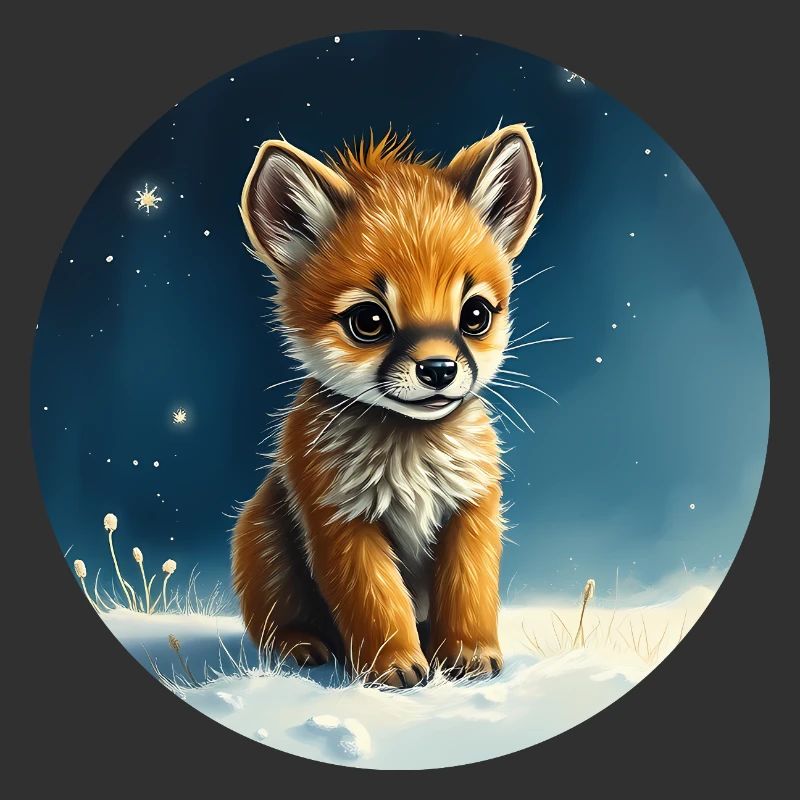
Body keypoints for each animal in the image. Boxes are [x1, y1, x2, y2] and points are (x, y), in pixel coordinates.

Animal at [232, 123, 542, 688]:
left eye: (476, 315)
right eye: (369, 322)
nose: (439, 370)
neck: (411, 450)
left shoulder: (472, 507)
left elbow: (469, 590)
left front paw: (468, 653)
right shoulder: (340, 519)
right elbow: (376, 601)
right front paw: (393, 664)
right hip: (261, 538)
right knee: (274, 621)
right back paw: (301, 645)